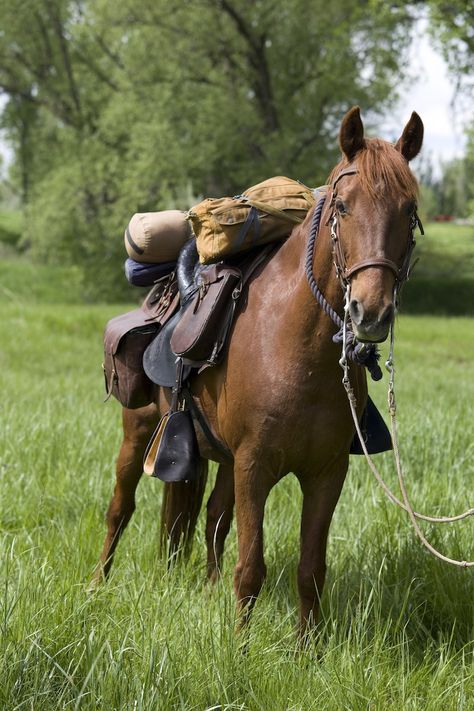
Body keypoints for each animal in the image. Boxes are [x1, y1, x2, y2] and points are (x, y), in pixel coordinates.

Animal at [90, 107, 424, 636]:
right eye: (343, 206)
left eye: (408, 211)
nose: (370, 313)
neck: (295, 349)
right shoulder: (255, 467)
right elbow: (250, 568)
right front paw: (240, 647)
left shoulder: (325, 473)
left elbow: (310, 570)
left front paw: (308, 648)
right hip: (139, 431)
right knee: (120, 509)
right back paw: (97, 586)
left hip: (220, 456)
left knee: (211, 518)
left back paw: (206, 591)